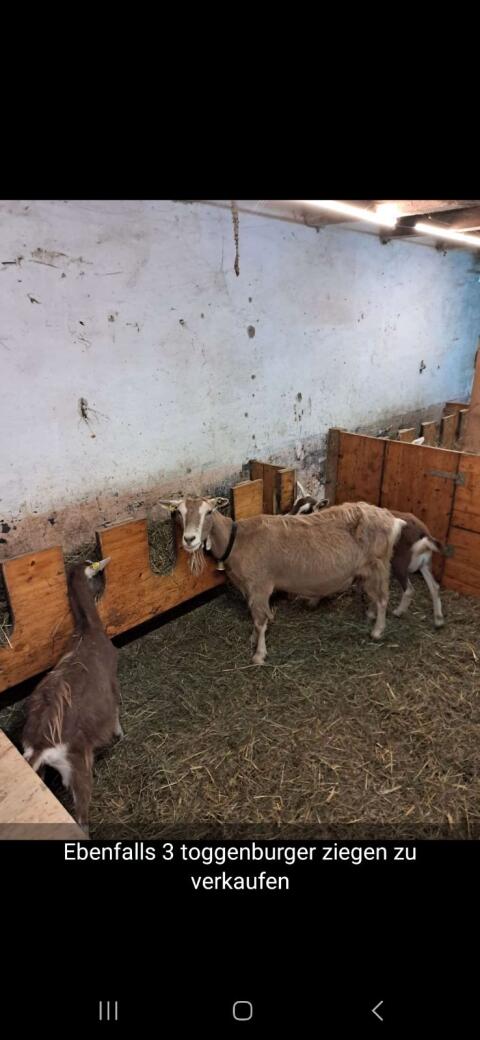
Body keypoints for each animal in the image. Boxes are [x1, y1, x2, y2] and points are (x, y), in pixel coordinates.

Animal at [22, 558, 122, 836]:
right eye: (94, 570)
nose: (104, 572)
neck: (88, 633)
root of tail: (40, 745)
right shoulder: (113, 682)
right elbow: (117, 710)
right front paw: (120, 734)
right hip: (77, 767)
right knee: (81, 815)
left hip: (41, 770)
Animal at [159, 496, 406, 665]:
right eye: (179, 512)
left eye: (209, 511)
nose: (189, 539)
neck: (237, 539)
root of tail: (391, 518)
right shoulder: (249, 588)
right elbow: (254, 617)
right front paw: (253, 638)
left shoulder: (260, 586)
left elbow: (260, 619)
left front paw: (259, 655)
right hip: (369, 569)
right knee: (373, 594)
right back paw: (371, 615)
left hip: (379, 564)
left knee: (383, 598)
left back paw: (377, 630)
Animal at [289, 486, 445, 628]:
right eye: (295, 503)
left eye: (306, 510)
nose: (287, 517)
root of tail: (423, 533)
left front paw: (313, 601)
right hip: (424, 564)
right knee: (434, 587)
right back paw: (438, 620)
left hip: (399, 563)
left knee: (409, 590)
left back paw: (397, 612)